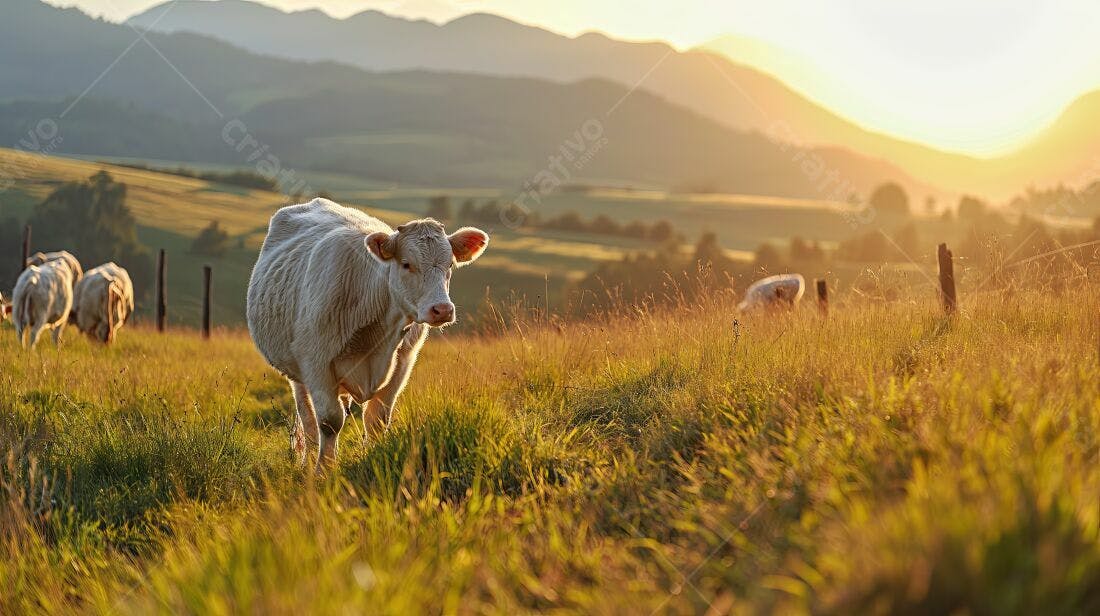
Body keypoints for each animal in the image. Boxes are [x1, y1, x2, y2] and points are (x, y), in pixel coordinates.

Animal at [247, 198, 489, 469]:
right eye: (406, 264)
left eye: (450, 265)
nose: (442, 309)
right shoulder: (316, 362)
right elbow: (329, 421)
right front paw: (323, 470)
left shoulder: (403, 361)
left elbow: (377, 419)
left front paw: (372, 459)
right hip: (295, 371)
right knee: (307, 417)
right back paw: (308, 462)